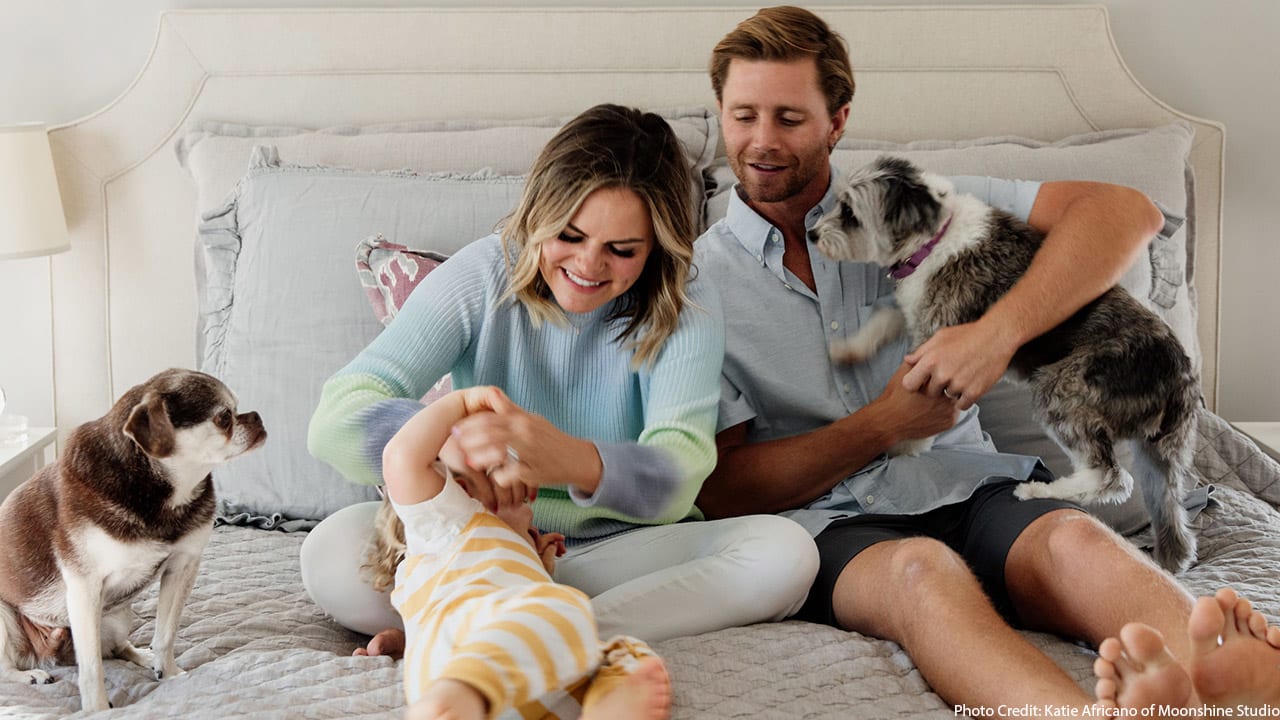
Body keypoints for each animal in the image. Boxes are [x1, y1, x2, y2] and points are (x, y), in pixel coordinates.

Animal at [808, 154, 1198, 568]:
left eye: (850, 212)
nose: (813, 234)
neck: (934, 238)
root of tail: (1178, 377)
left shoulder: (938, 343)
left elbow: (918, 403)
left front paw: (909, 446)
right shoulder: (918, 315)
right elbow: (883, 319)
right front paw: (850, 349)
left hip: (1063, 389)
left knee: (1110, 478)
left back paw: (1039, 491)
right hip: (1159, 456)